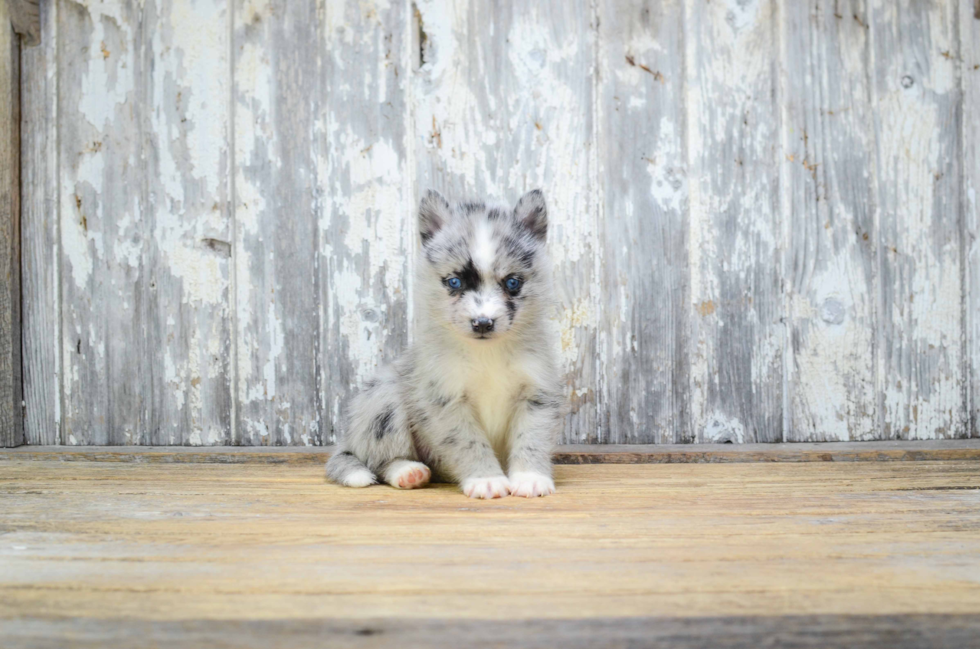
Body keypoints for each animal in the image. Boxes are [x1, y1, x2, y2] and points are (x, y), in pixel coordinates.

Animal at [326, 190, 564, 498]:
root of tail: (348, 440)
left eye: (512, 282)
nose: (483, 323)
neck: (486, 354)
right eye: (454, 282)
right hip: (382, 399)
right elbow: (469, 442)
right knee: (380, 460)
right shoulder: (445, 400)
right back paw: (408, 471)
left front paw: (530, 477)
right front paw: (486, 479)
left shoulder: (537, 394)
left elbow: (532, 438)